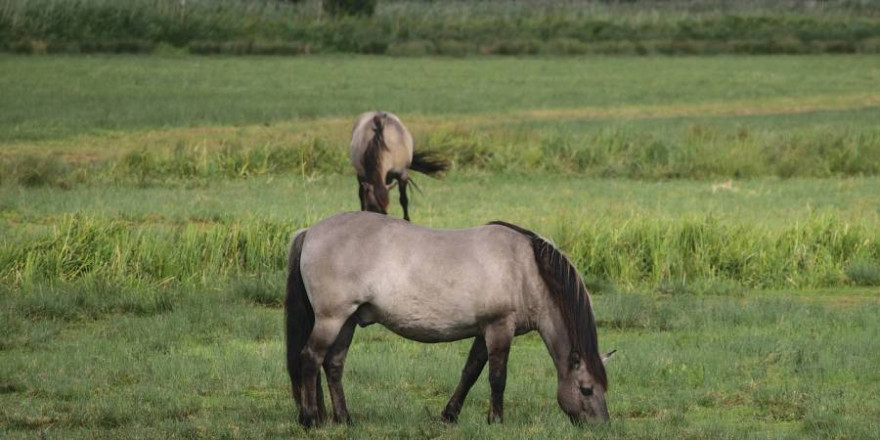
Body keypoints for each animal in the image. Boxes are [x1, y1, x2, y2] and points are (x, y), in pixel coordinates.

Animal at [286, 211, 616, 428]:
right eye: (586, 389)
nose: (601, 426)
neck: (525, 269)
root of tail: (310, 231)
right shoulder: (499, 327)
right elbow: (497, 377)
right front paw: (496, 420)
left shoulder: (484, 331)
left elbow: (470, 372)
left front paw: (449, 415)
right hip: (331, 319)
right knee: (310, 358)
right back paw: (310, 419)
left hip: (348, 321)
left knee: (333, 364)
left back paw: (344, 419)